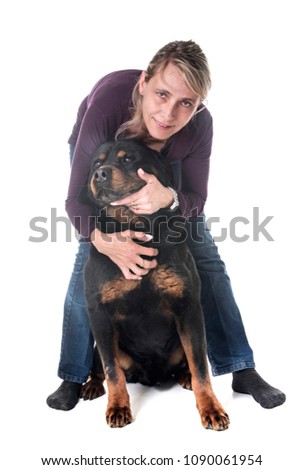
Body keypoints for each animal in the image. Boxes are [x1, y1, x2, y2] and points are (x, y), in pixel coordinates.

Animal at [79, 139, 229, 430]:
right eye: (96, 163)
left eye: (127, 159)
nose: (100, 174)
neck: (137, 226)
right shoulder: (98, 313)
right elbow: (112, 370)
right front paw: (117, 406)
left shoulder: (189, 306)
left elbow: (201, 367)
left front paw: (211, 408)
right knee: (102, 366)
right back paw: (92, 385)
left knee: (189, 362)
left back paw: (184, 376)